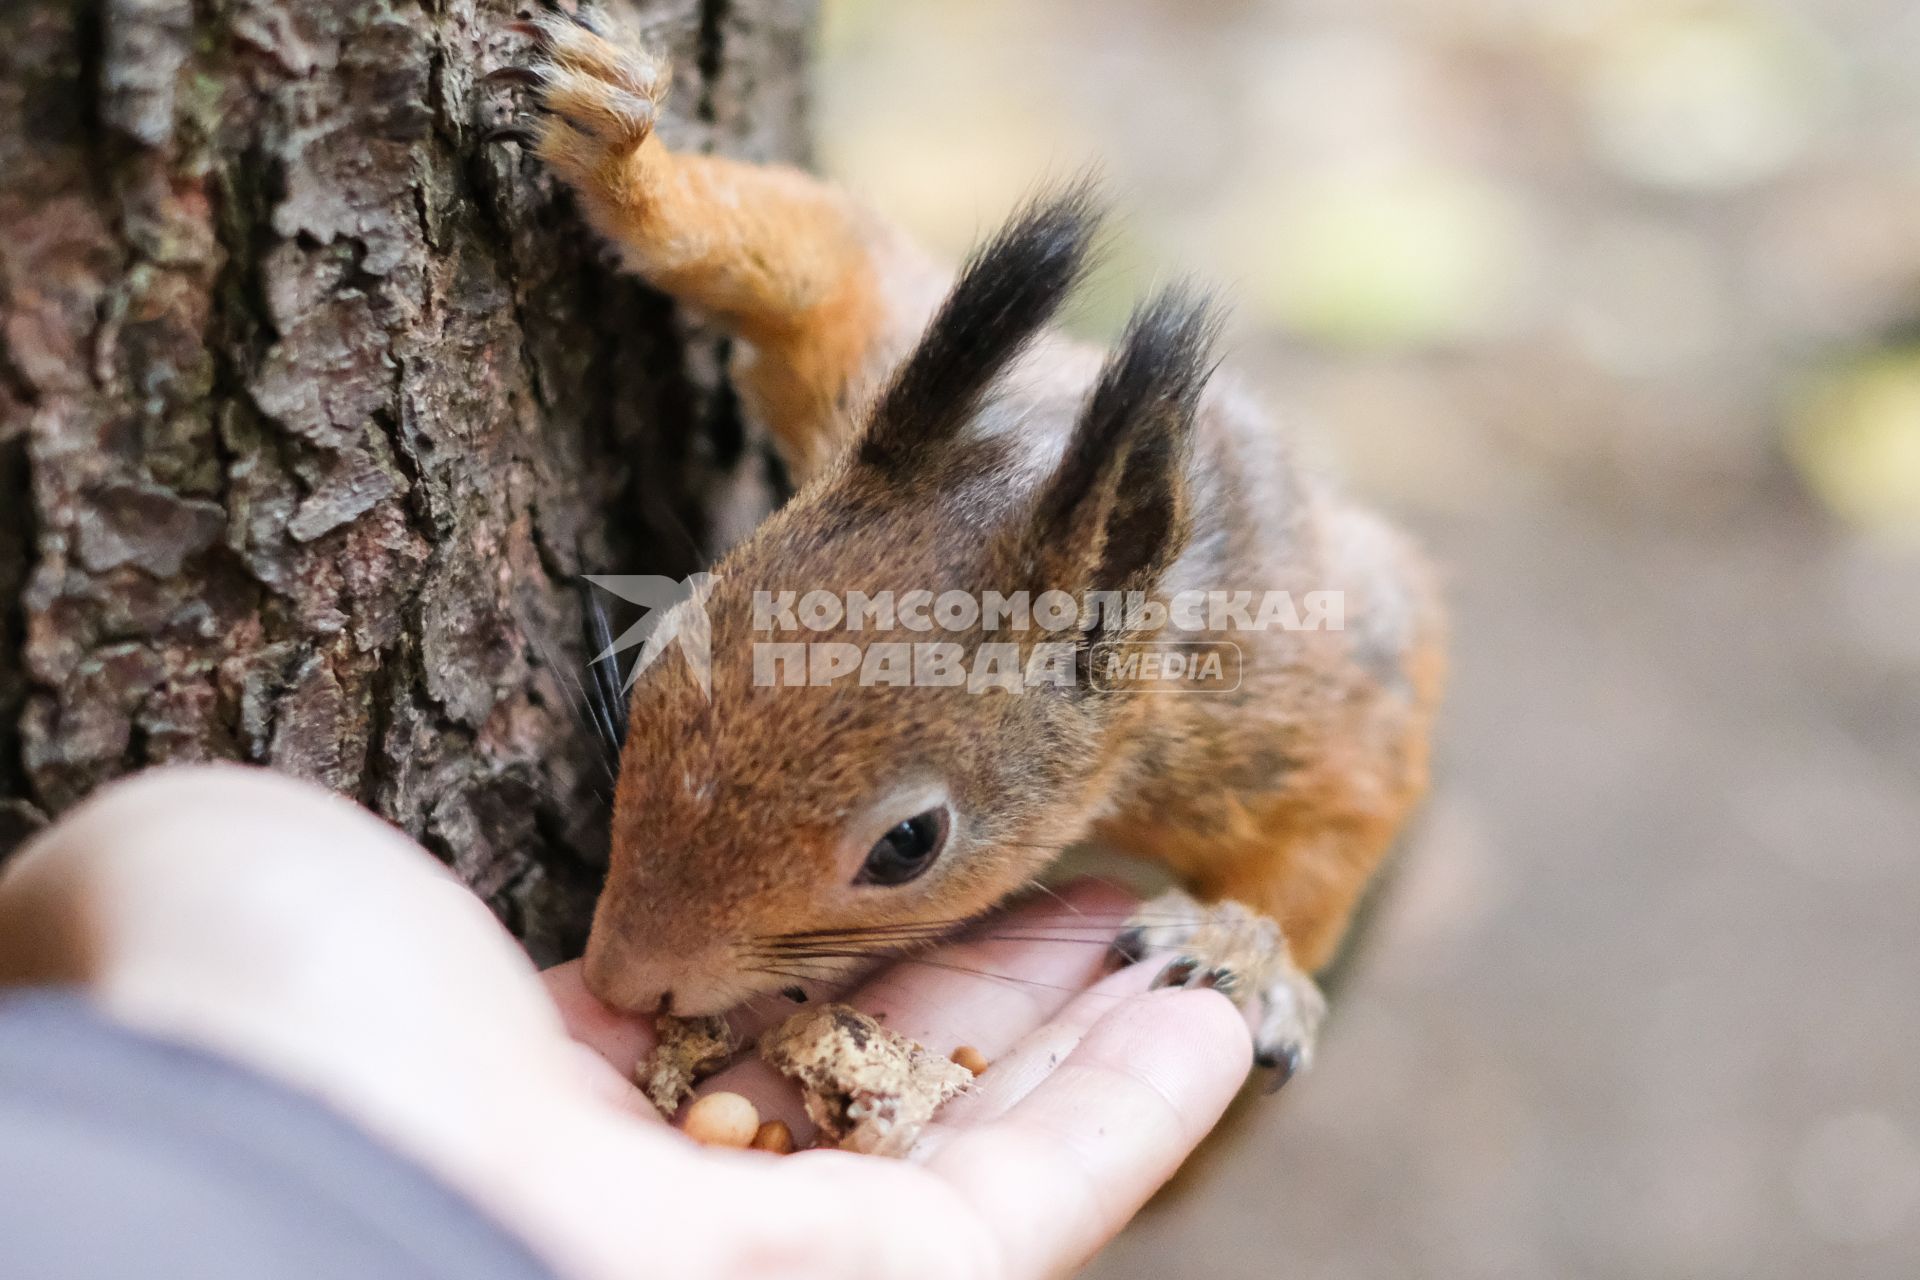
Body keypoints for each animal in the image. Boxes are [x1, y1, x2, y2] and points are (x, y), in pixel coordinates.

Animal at [487, 10, 1443, 1082]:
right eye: (659, 648)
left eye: (909, 844)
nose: (620, 980)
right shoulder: (868, 356)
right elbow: (822, 256)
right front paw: (617, 140)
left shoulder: (1279, 677)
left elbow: (1351, 794)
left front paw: (1248, 946)